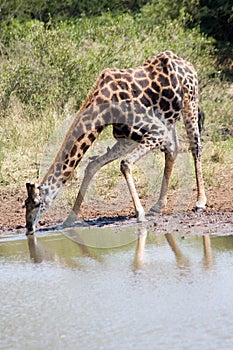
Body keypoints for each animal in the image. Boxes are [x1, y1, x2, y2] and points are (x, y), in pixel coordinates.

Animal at [25, 50, 206, 235]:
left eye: (37, 203)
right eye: (25, 204)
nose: (29, 228)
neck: (103, 104)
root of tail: (185, 62)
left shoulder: (156, 130)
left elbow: (125, 163)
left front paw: (139, 214)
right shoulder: (126, 137)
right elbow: (93, 165)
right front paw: (68, 220)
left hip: (190, 102)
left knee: (195, 147)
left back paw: (200, 202)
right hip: (170, 117)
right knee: (173, 149)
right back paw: (158, 205)